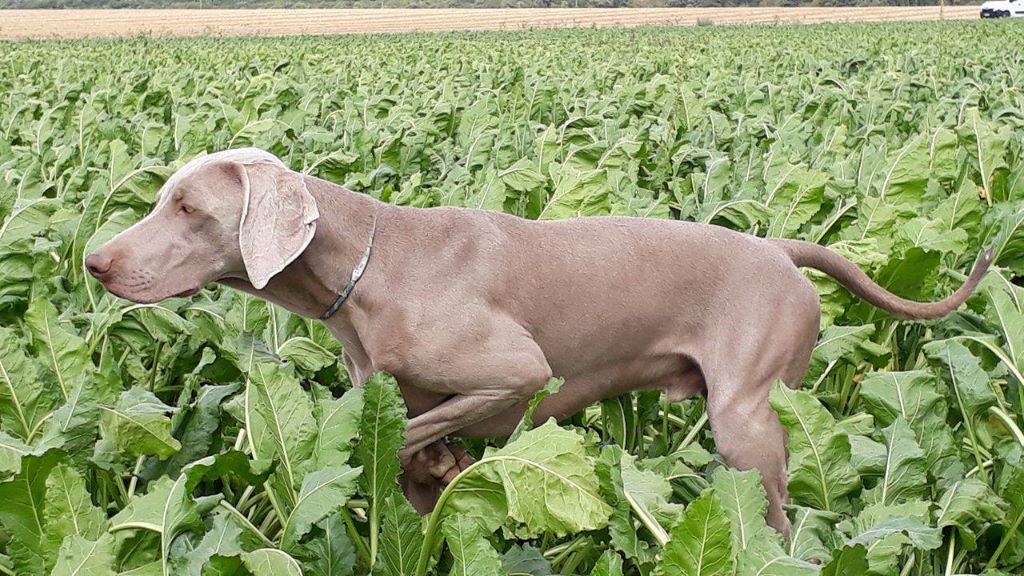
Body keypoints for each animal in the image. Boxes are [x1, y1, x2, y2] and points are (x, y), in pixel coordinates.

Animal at [88, 147, 991, 532]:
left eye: (189, 209)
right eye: (162, 198)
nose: (95, 262)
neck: (367, 267)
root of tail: (780, 248)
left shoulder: (519, 373)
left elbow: (421, 429)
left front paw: (430, 461)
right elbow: (412, 455)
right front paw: (433, 475)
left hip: (746, 417)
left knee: (774, 509)